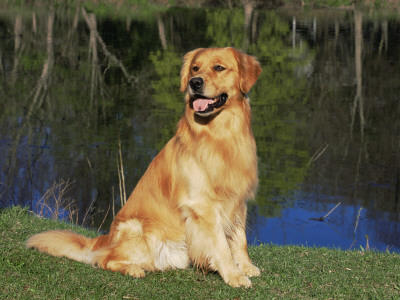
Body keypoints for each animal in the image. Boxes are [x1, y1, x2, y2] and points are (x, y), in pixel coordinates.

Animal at [25, 47, 262, 288]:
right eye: (195, 68)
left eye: (219, 67)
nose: (194, 83)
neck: (220, 134)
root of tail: (106, 238)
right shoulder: (203, 205)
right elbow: (221, 244)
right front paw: (234, 275)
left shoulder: (237, 201)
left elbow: (239, 238)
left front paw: (246, 266)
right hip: (137, 229)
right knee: (104, 259)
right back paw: (133, 269)